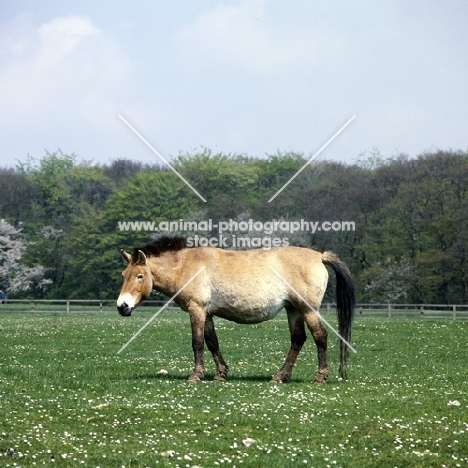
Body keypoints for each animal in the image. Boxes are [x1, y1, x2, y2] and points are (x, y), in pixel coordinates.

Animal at [117, 236, 354, 382]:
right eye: (123, 275)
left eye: (140, 276)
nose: (122, 306)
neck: (187, 265)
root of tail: (319, 256)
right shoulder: (207, 313)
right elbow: (212, 342)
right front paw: (220, 374)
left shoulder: (197, 309)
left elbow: (197, 342)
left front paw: (196, 375)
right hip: (293, 309)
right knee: (298, 340)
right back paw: (280, 376)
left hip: (307, 309)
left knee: (320, 337)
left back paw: (320, 376)